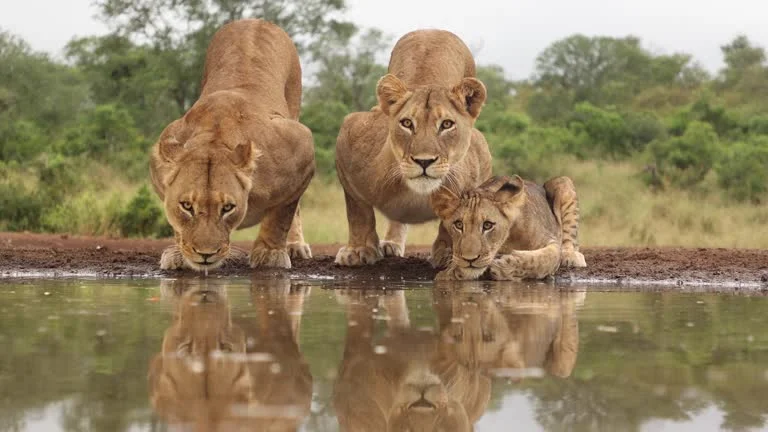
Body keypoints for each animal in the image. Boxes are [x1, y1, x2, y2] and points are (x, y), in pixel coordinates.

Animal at [149, 19, 315, 272]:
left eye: (227, 208)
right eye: (187, 206)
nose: (205, 255)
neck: (216, 138)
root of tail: (254, 19)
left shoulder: (302, 144)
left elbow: (282, 213)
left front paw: (270, 254)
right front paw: (178, 254)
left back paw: (295, 246)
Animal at [334, 29, 492, 267]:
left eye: (447, 124)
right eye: (407, 123)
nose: (424, 161)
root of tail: (432, 29)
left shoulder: (479, 159)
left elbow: (457, 218)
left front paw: (449, 253)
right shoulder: (349, 137)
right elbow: (358, 212)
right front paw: (358, 250)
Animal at [431, 175, 587, 281]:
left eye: (487, 225)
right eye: (458, 225)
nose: (469, 259)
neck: (505, 242)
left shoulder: (551, 241)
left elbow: (544, 259)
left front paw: (503, 267)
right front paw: (451, 269)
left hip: (563, 182)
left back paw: (570, 256)